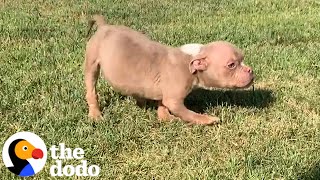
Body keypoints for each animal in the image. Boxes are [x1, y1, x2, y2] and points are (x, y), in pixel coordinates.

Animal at [85, 14, 255, 125]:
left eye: (243, 59)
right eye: (231, 65)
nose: (251, 70)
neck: (191, 59)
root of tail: (104, 26)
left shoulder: (164, 91)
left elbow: (162, 104)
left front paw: (165, 117)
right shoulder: (174, 101)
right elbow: (189, 113)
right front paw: (207, 119)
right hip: (91, 65)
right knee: (91, 90)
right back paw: (95, 115)